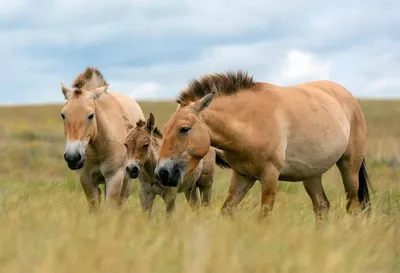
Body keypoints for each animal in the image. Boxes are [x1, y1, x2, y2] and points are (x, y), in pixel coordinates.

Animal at [59, 66, 145, 210]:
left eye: (91, 115)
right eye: (63, 115)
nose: (73, 157)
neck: (98, 150)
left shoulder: (114, 178)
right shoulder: (86, 179)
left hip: (127, 182)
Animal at [154, 70, 372, 221]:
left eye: (184, 129)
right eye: (165, 129)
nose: (162, 172)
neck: (249, 123)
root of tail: (349, 97)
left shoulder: (269, 176)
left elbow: (264, 217)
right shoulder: (243, 176)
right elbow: (227, 210)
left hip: (349, 167)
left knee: (353, 205)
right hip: (311, 174)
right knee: (322, 207)